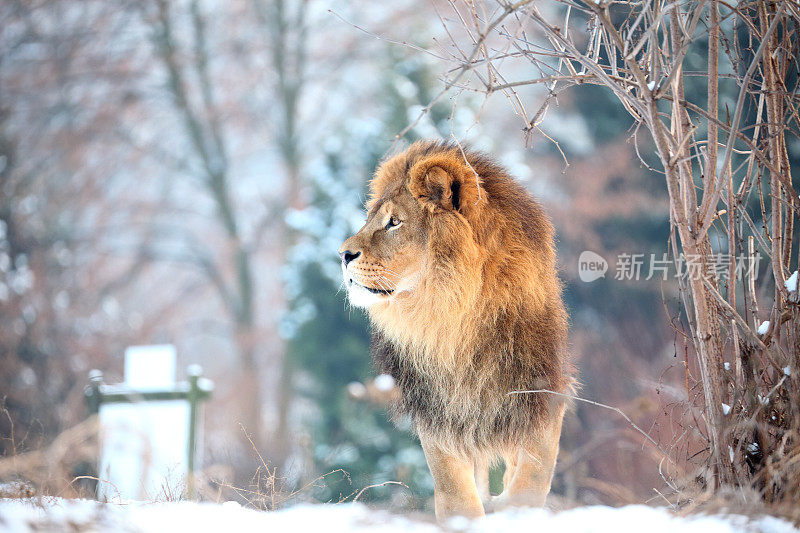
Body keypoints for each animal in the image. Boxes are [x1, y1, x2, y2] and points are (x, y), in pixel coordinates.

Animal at [340, 139, 576, 516]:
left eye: (394, 222)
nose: (342, 254)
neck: (453, 318)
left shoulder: (541, 391)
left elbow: (534, 473)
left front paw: (514, 510)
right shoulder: (438, 411)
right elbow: (455, 491)